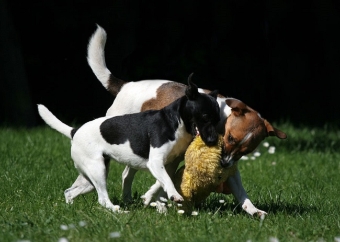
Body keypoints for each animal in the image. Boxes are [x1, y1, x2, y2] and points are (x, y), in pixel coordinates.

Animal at [38, 79, 222, 212]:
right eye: (205, 116)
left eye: (218, 119)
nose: (213, 140)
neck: (175, 121)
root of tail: (75, 131)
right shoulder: (155, 162)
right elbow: (167, 181)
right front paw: (174, 196)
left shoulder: (168, 164)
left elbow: (162, 182)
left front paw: (157, 202)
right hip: (97, 170)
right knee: (102, 199)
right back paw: (117, 211)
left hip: (90, 178)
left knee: (69, 192)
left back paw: (70, 209)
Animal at [86, 24, 286, 216]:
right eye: (230, 138)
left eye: (247, 151)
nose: (223, 164)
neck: (221, 117)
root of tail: (125, 86)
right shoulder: (173, 155)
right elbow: (164, 179)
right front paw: (153, 197)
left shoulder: (229, 164)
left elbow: (241, 192)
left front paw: (253, 210)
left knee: (127, 174)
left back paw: (130, 200)